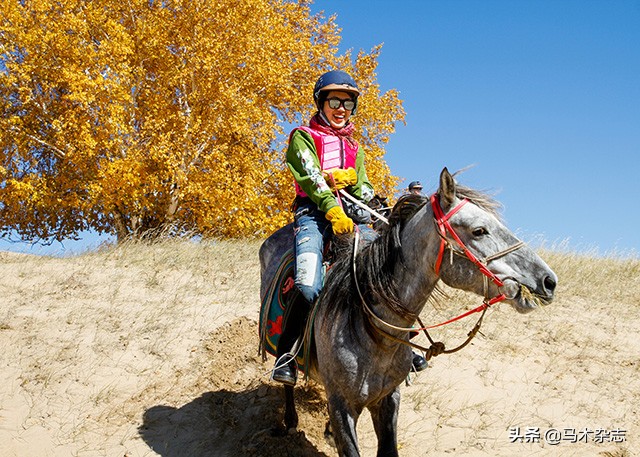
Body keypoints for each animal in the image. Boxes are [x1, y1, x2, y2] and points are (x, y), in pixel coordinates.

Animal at [258, 168, 556, 456]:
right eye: (479, 230)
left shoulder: (389, 398)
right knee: (288, 381)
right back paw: (289, 415)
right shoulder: (343, 406)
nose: (548, 281)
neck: (372, 332)